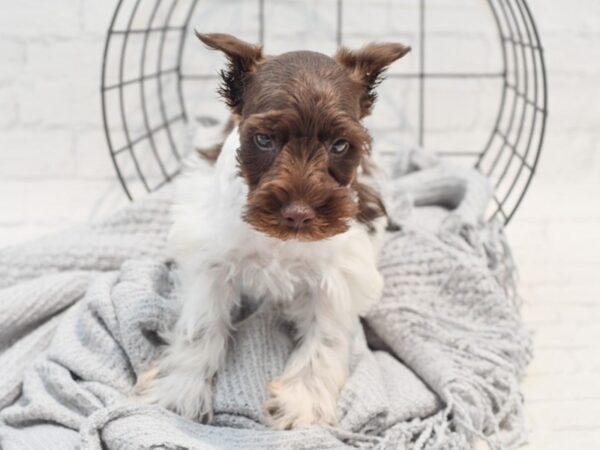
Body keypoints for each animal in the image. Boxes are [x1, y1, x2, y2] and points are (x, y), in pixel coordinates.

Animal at [134, 32, 410, 428]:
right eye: (264, 139)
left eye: (340, 144)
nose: (298, 214)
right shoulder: (210, 261)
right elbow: (200, 325)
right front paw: (181, 389)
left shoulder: (339, 274)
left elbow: (326, 337)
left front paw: (304, 400)